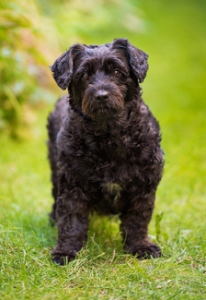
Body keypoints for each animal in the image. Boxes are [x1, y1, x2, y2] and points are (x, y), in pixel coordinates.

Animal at [47, 38, 164, 264]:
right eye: (84, 75)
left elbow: (138, 219)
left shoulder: (144, 185)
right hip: (55, 170)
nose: (101, 96)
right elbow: (71, 220)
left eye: (117, 72)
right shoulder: (73, 183)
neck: (109, 136)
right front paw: (66, 251)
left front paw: (140, 246)